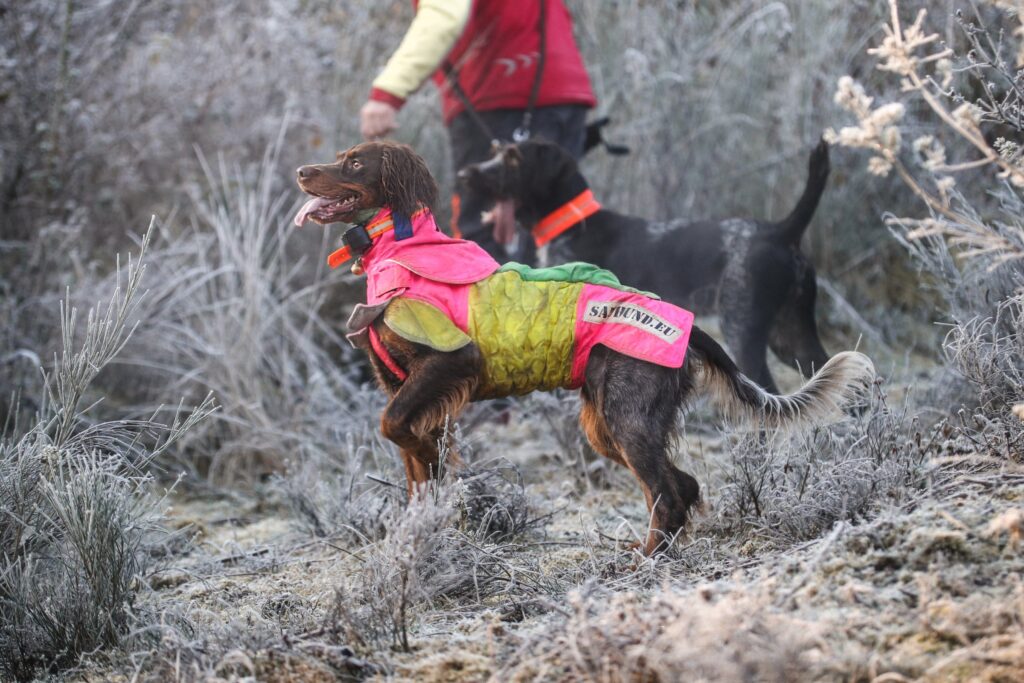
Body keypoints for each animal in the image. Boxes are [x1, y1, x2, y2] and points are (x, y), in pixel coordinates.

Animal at [460, 140, 835, 395]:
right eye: (496, 150)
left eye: (513, 157)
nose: (465, 173)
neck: (573, 225)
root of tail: (783, 231)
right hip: (791, 336)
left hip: (744, 331)